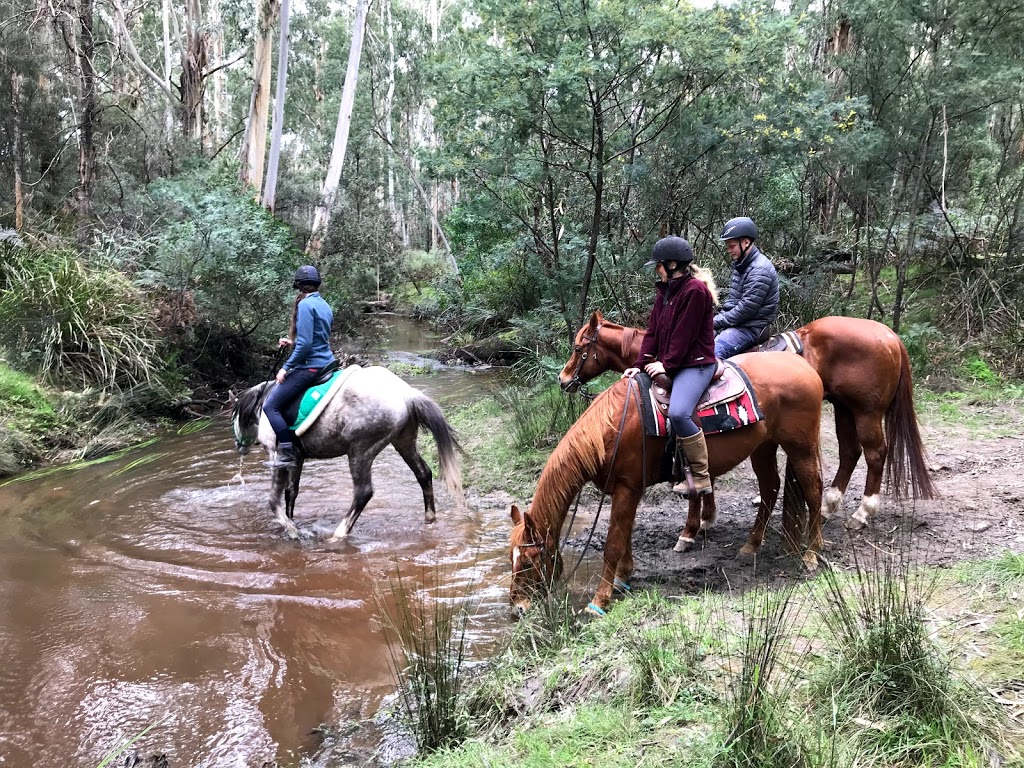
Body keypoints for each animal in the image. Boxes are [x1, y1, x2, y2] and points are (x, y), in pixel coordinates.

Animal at [232, 366, 464, 540]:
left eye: (236, 417)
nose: (239, 447)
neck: (264, 403)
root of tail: (406, 394)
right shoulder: (296, 459)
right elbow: (291, 492)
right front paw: (291, 523)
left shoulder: (276, 455)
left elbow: (274, 499)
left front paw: (291, 530)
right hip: (403, 441)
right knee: (423, 473)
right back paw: (429, 519)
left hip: (360, 451)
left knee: (363, 492)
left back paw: (339, 534)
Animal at [507, 352, 827, 618]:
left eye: (527, 562)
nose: (518, 608)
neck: (609, 430)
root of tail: (804, 366)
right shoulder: (625, 490)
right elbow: (625, 536)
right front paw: (623, 578)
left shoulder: (627, 488)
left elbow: (613, 543)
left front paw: (599, 601)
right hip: (763, 446)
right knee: (770, 488)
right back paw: (751, 546)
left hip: (801, 446)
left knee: (813, 490)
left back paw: (812, 553)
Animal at [561, 313, 937, 528]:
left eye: (579, 348)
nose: (564, 380)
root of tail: (888, 335)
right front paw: (706, 516)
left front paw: (697, 522)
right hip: (844, 408)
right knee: (849, 452)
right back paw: (831, 504)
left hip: (866, 411)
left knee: (874, 454)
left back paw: (863, 512)